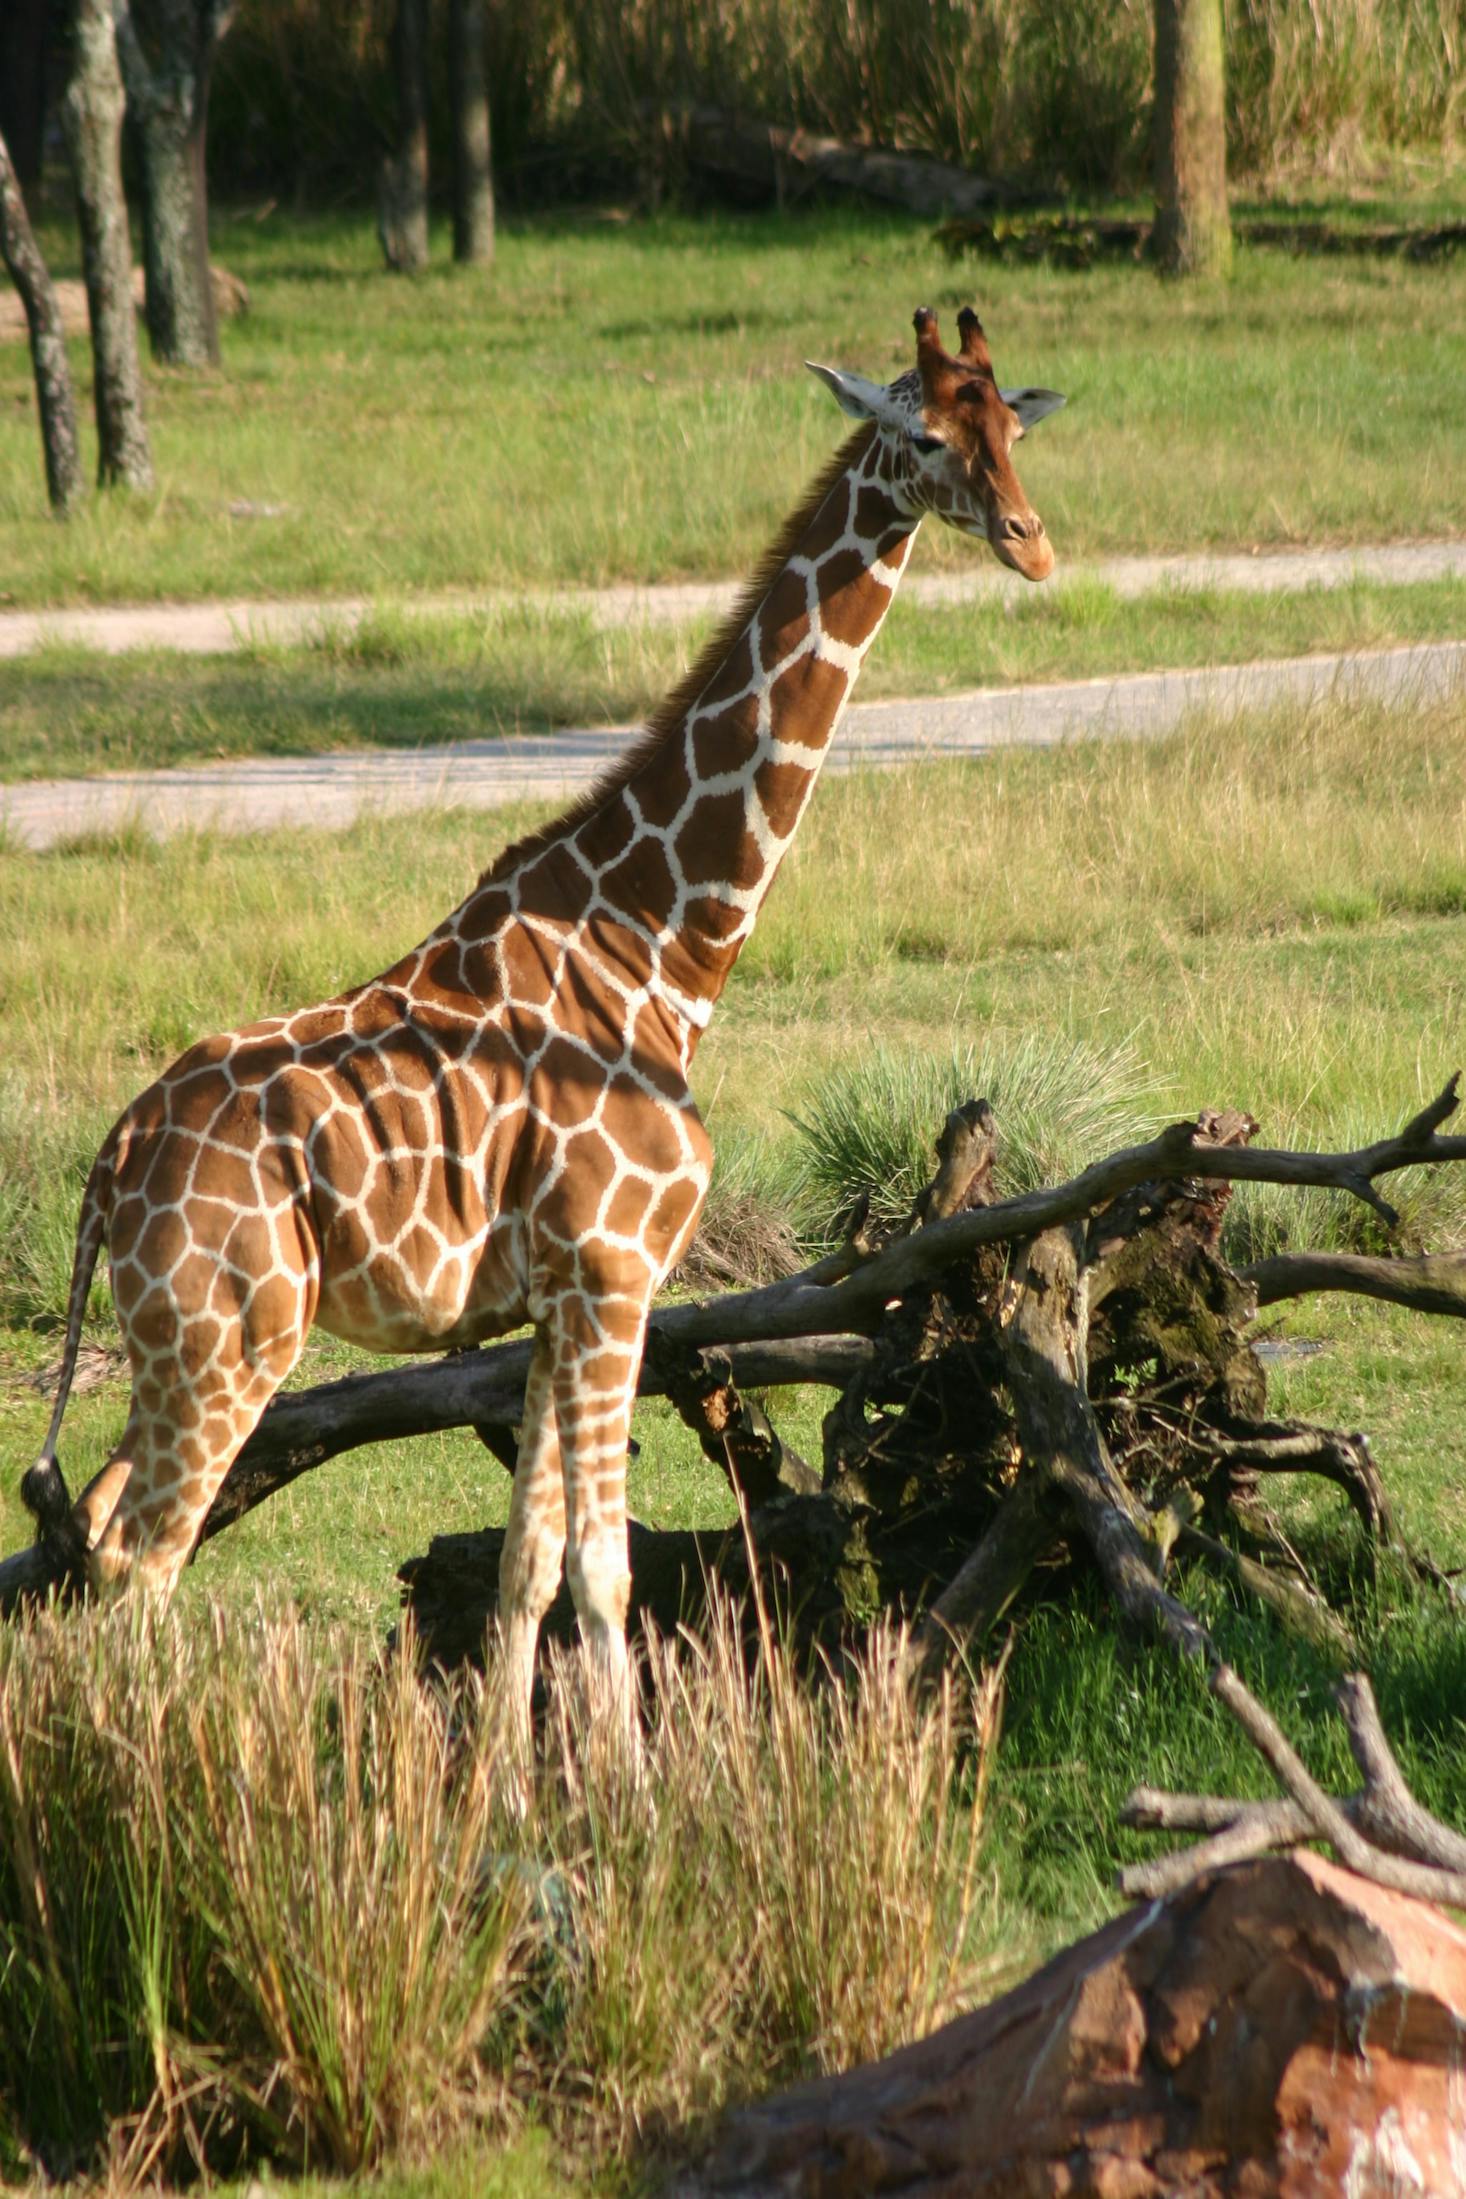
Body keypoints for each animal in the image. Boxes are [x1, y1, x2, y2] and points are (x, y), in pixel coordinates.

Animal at [22, 301, 1068, 1724]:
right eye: (921, 437)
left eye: (1008, 424)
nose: (1029, 542)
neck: (663, 942)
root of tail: (105, 1172)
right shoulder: (618, 1270)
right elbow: (602, 1571)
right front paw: (618, 1780)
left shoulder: (550, 1301)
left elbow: (527, 1567)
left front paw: (508, 1775)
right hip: (233, 1341)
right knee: (142, 1564)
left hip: (166, 1348)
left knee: (91, 1540)